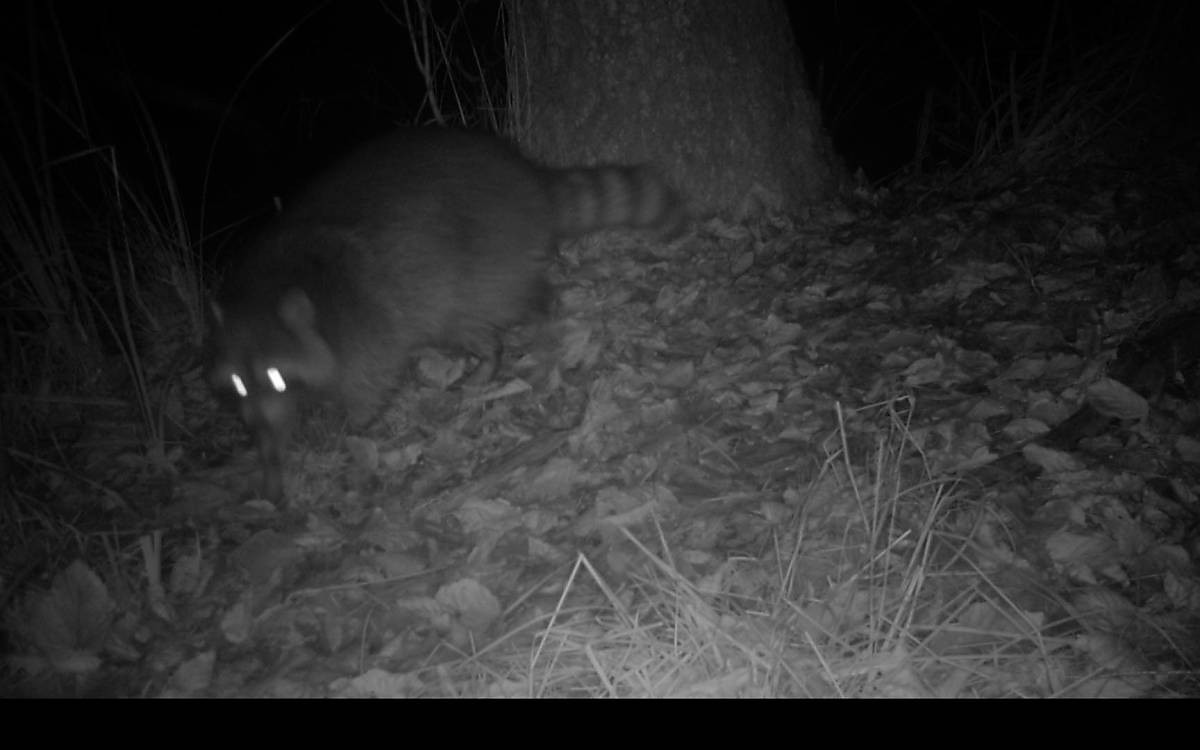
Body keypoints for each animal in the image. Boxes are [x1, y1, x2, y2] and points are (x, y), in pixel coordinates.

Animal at [206, 128, 686, 504]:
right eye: (237, 382)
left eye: (276, 376)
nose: (255, 428)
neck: (271, 285)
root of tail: (525, 178)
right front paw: (270, 462)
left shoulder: (364, 325)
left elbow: (367, 385)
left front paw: (347, 435)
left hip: (479, 259)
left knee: (499, 306)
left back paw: (522, 330)